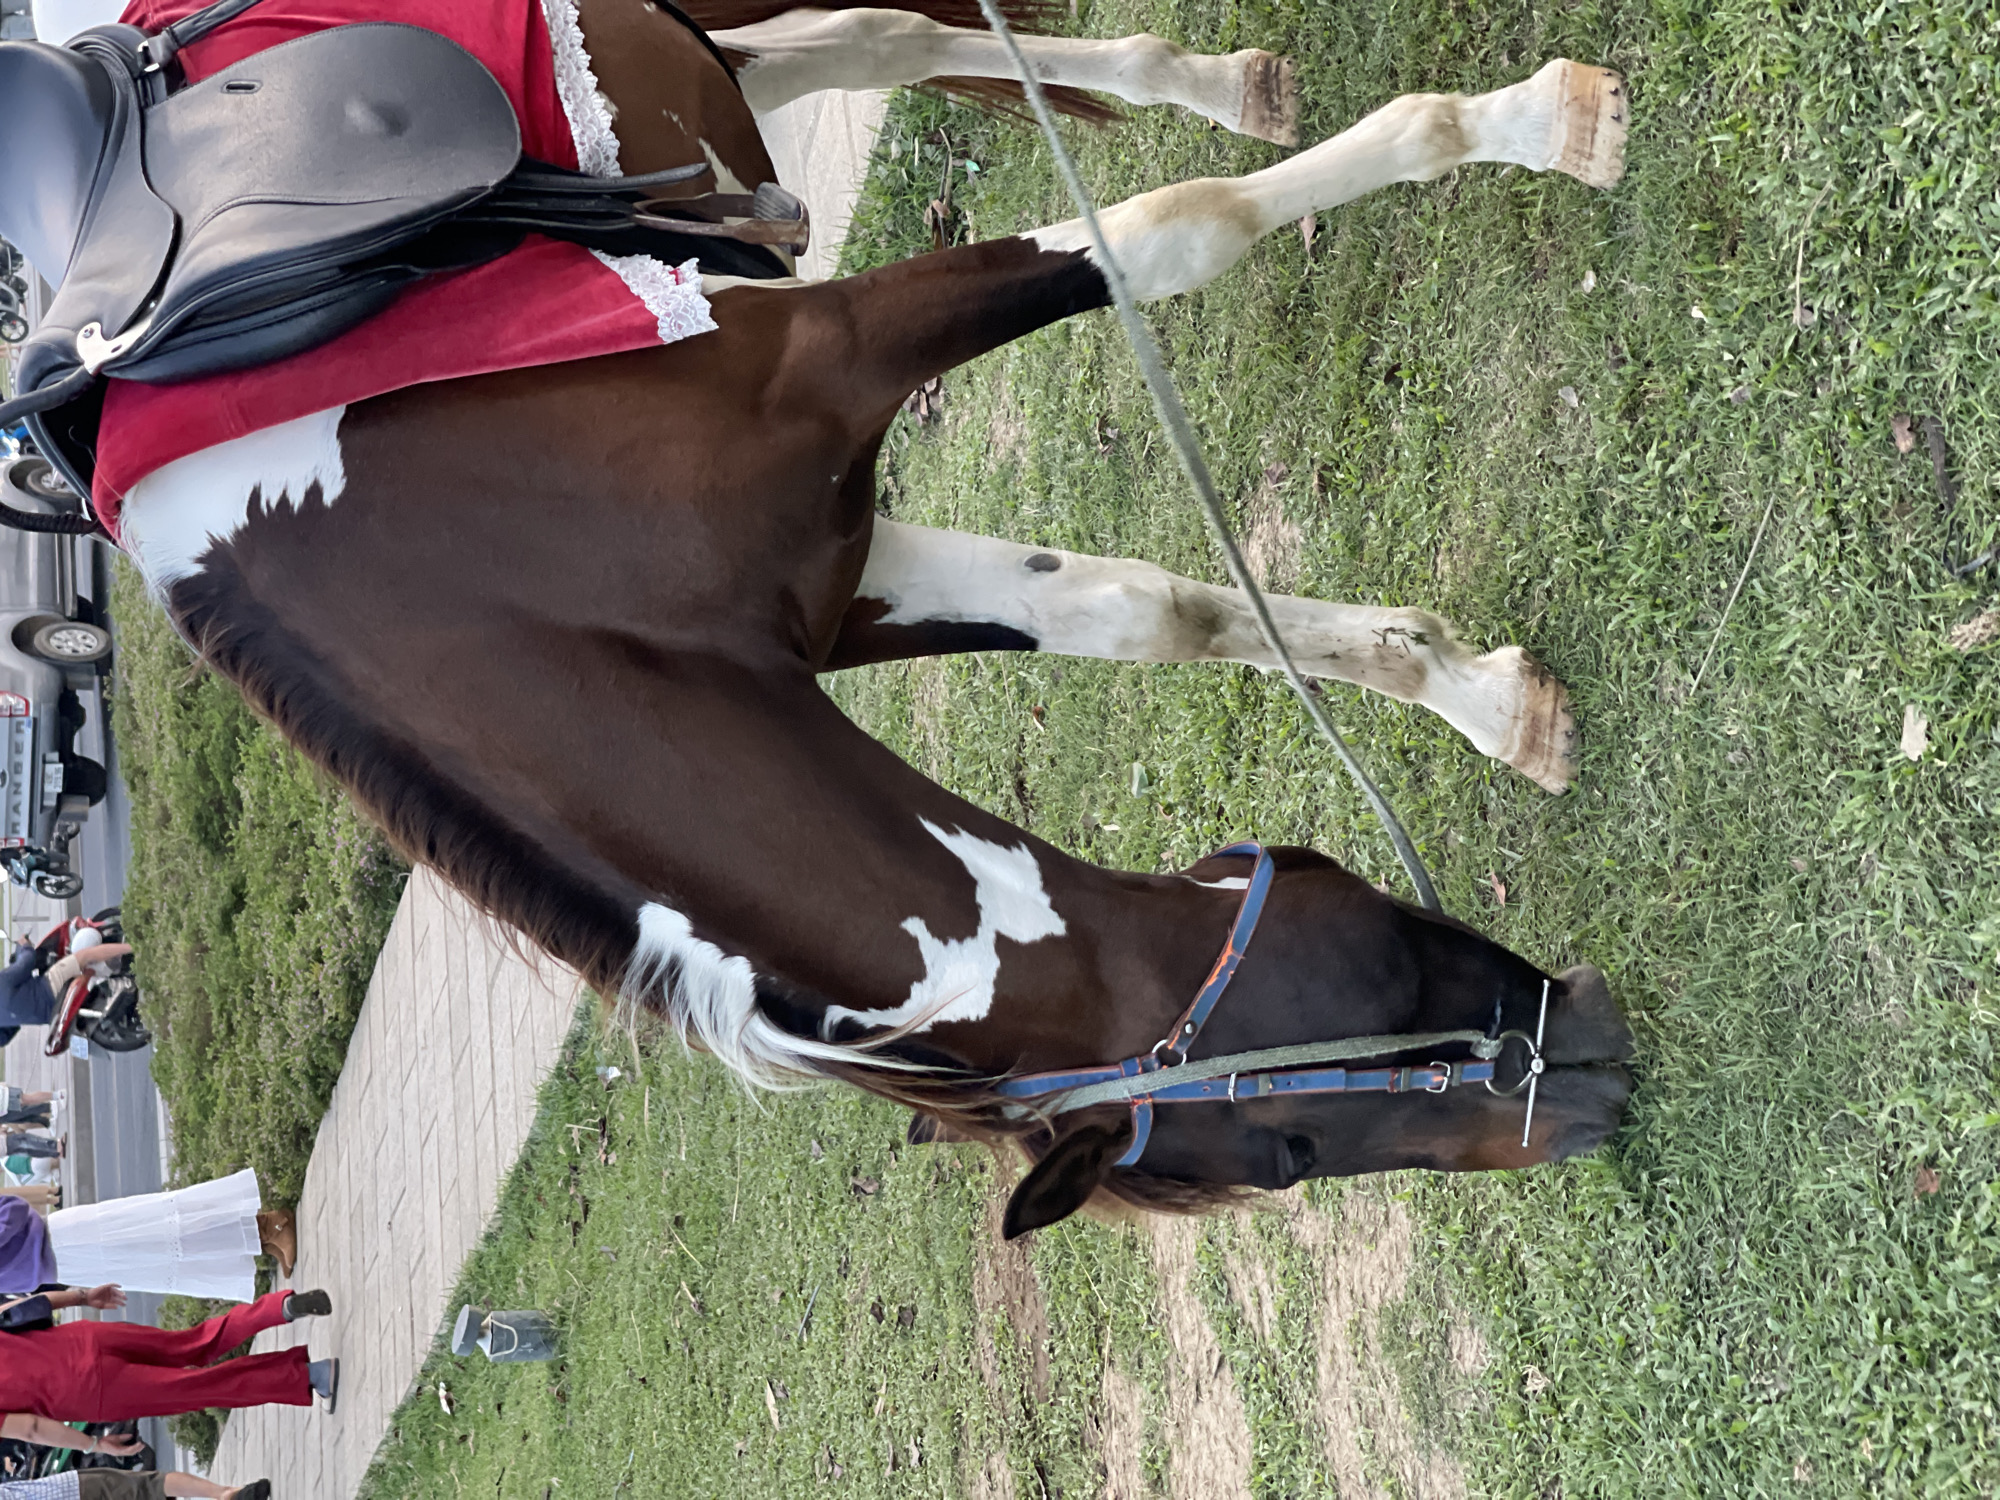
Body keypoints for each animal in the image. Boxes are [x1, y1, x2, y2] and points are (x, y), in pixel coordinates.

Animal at [28, 0, 1635, 1234]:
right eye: (1287, 1151)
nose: (1593, 1083)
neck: (473, 561)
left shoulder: (826, 361)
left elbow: (1171, 235)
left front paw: (1529, 121)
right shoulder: (833, 582)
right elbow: (1143, 609)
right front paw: (1475, 693)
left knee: (886, 33)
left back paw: (1229, 88)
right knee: (854, 42)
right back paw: (1219, 85)